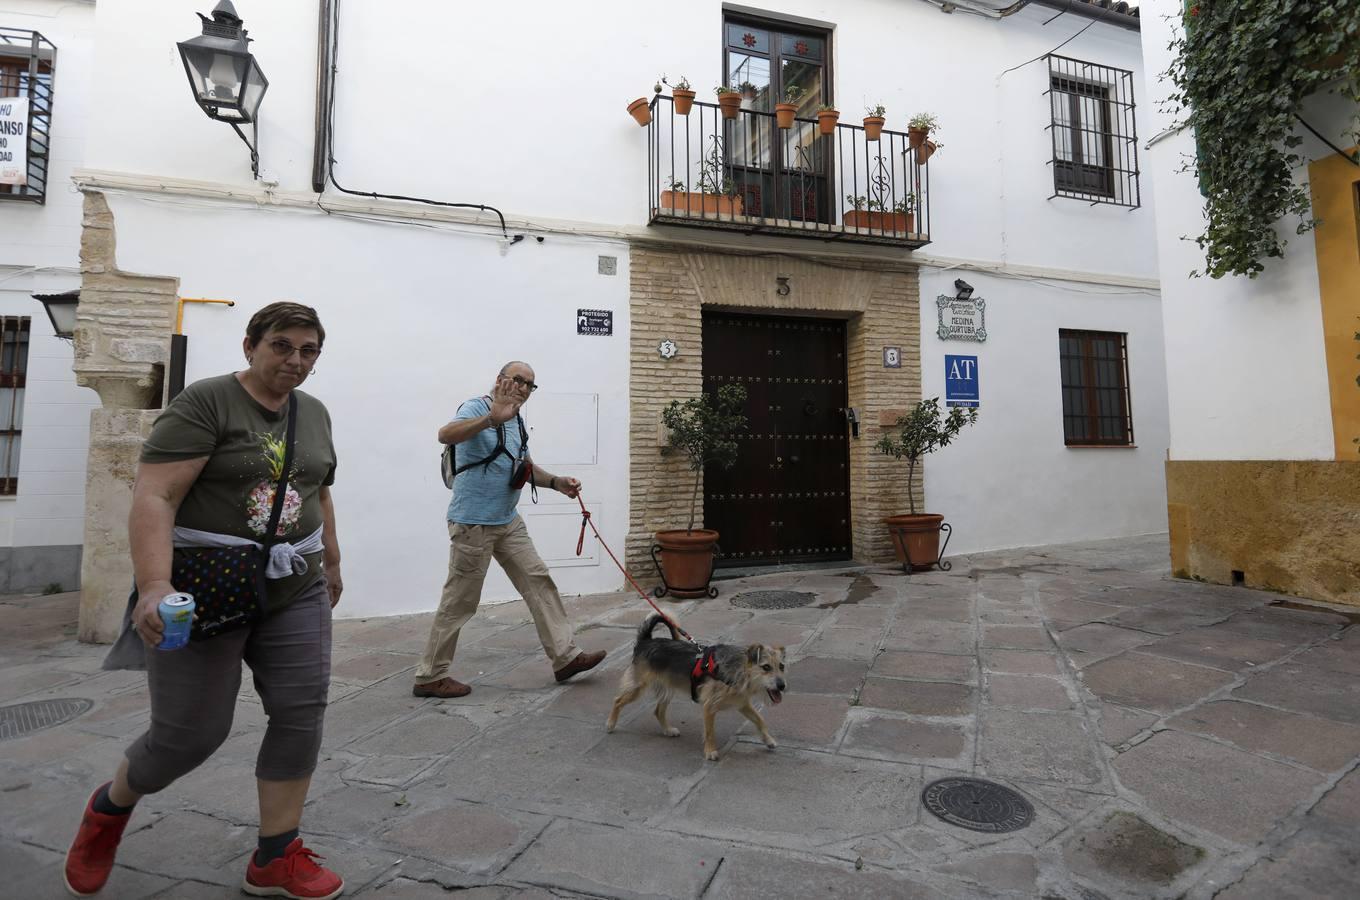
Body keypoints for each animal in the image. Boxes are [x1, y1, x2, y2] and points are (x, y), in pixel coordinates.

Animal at [606, 614, 788, 761]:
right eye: (766, 667)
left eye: (781, 666)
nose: (782, 685)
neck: (740, 670)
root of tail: (646, 640)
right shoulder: (709, 707)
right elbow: (709, 732)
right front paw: (710, 752)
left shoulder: (742, 703)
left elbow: (759, 719)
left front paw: (768, 740)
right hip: (637, 687)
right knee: (617, 700)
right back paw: (610, 724)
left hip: (667, 689)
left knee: (658, 711)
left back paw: (668, 730)